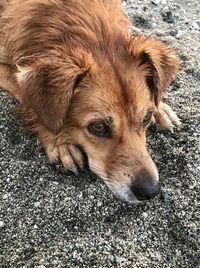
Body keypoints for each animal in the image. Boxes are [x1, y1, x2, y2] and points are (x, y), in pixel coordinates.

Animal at [0, 0, 181, 203]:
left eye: (146, 117)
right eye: (98, 127)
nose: (150, 191)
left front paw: (160, 108)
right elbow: (31, 103)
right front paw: (60, 143)